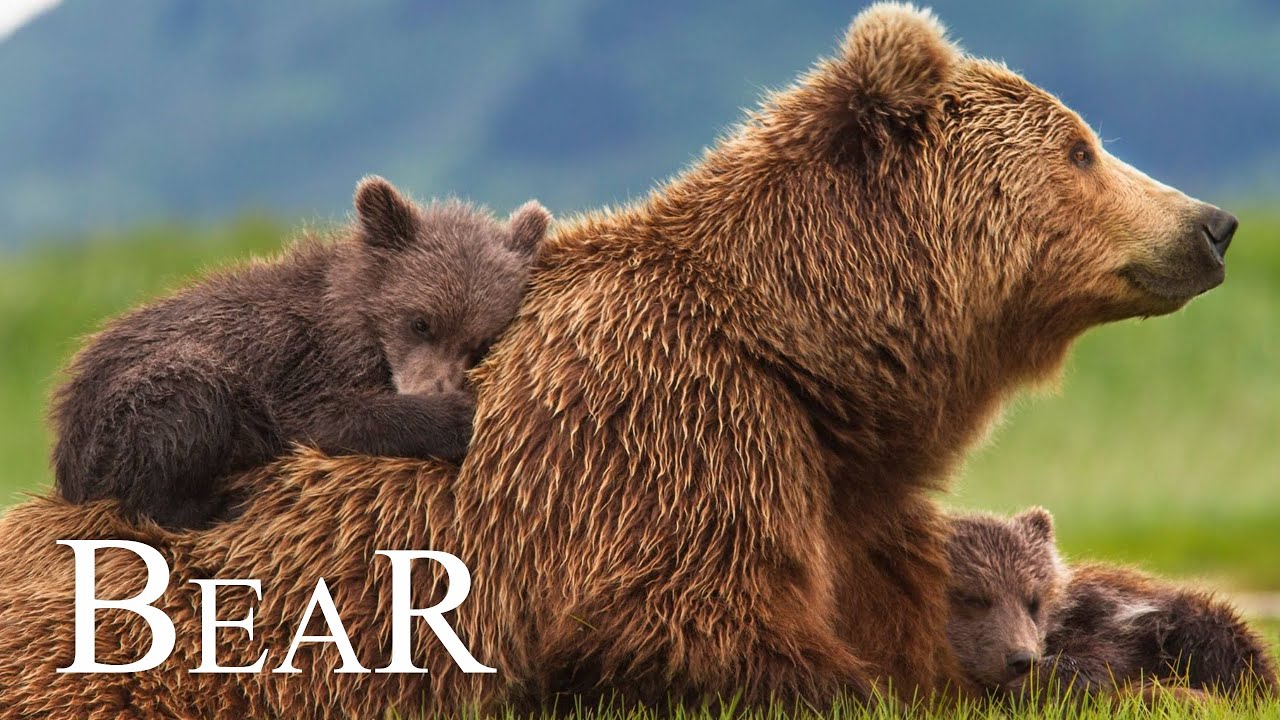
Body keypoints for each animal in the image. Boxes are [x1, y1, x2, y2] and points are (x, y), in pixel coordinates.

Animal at [51, 176, 550, 529]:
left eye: (479, 342)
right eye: (421, 322)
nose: (434, 389)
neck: (355, 319)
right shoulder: (300, 363)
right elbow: (329, 419)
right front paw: (456, 417)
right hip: (129, 408)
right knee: (187, 403)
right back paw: (220, 503)